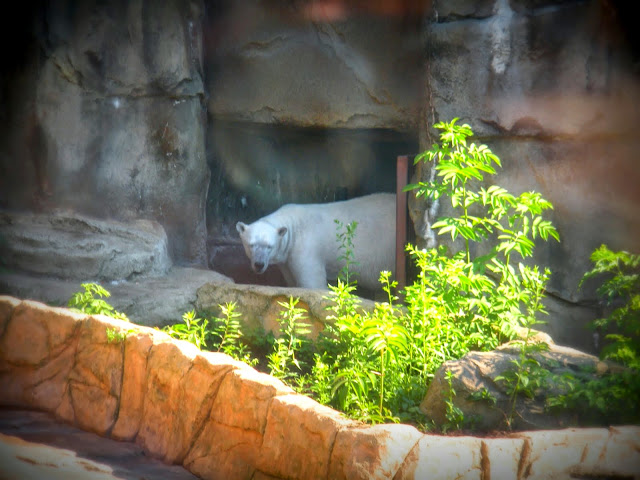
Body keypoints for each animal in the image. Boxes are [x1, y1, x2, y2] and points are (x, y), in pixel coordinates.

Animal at [236, 193, 396, 290]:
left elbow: (313, 283)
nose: (259, 264)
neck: (293, 226)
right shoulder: (287, 259)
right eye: (251, 245)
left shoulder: (306, 248)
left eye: (270, 246)